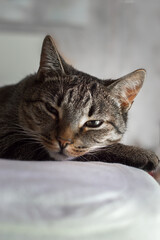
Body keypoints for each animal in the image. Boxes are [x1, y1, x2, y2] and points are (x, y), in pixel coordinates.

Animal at [0, 35, 158, 171]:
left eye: (94, 123)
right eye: (51, 109)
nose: (63, 141)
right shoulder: (9, 137)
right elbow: (94, 152)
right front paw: (137, 153)